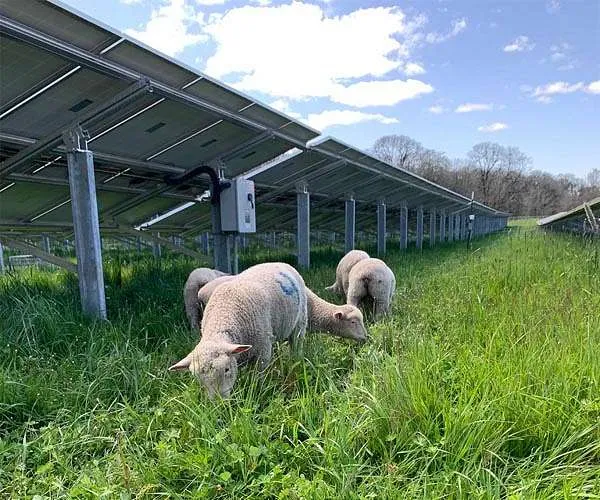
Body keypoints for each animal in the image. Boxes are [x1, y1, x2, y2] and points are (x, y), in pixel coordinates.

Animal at [170, 262, 308, 398]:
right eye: (198, 379)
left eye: (226, 369)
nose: (219, 401)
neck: (223, 316)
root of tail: (279, 263)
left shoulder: (262, 351)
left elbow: (259, 376)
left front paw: (259, 389)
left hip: (300, 321)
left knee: (296, 343)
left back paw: (296, 360)